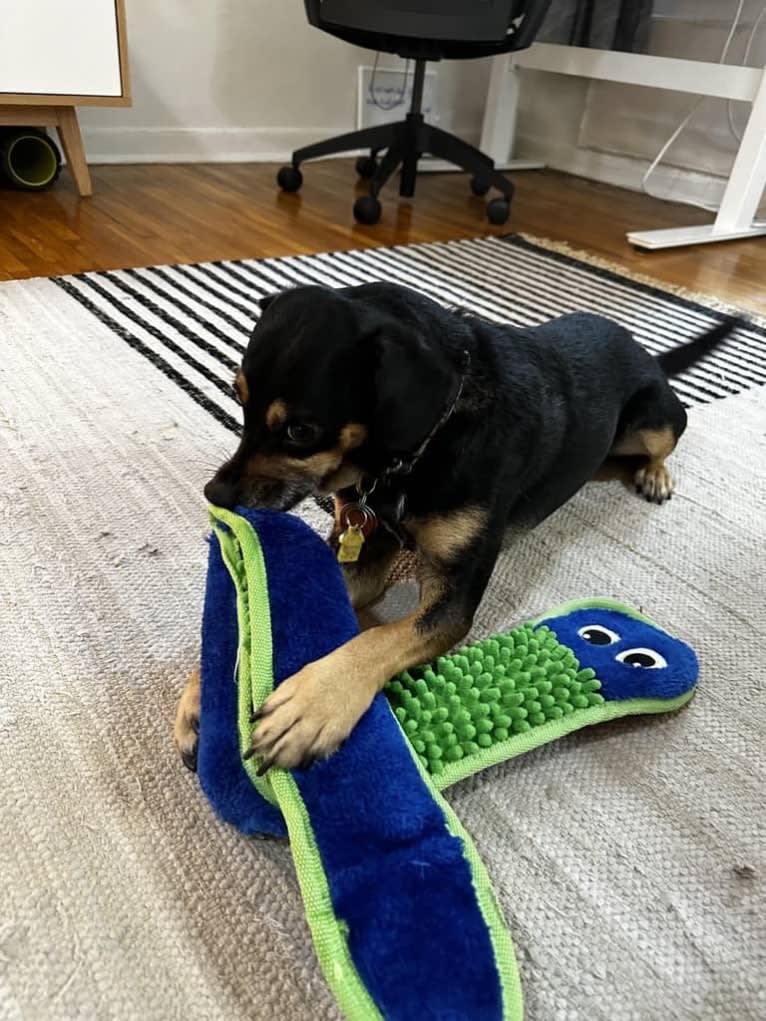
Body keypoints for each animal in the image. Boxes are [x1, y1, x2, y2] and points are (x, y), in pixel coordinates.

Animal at [172, 281, 739, 771]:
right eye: (236, 395)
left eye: (300, 431)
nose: (215, 495)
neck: (413, 455)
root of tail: (646, 352)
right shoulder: (362, 543)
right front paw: (207, 692)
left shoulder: (453, 596)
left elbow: (380, 638)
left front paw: (313, 704)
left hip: (657, 420)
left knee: (660, 443)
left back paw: (655, 474)